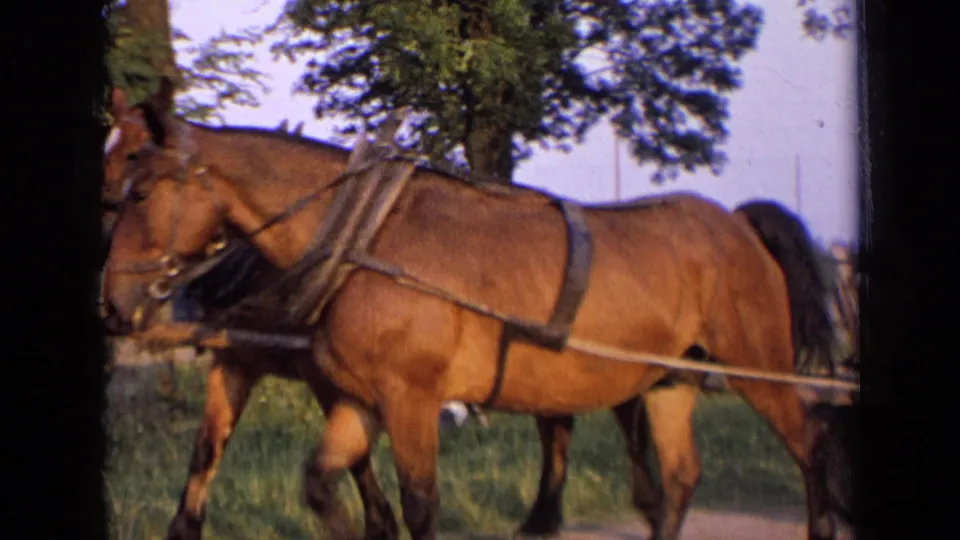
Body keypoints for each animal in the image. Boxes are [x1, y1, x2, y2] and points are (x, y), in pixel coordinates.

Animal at [100, 88, 838, 540]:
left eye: (138, 189)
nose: (114, 304)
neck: (365, 235)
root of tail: (734, 223)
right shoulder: (358, 396)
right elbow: (319, 481)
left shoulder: (409, 398)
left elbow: (420, 506)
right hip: (669, 377)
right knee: (680, 477)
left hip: (754, 362)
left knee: (808, 441)